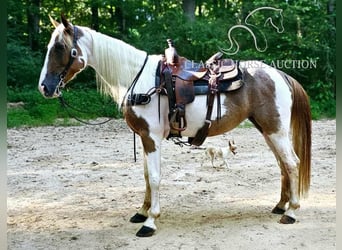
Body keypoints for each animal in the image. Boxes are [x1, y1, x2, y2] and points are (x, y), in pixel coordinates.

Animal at [38, 14, 312, 237]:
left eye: (60, 47)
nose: (44, 87)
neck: (139, 79)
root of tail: (281, 74)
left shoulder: (151, 137)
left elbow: (155, 177)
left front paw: (150, 222)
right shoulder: (145, 138)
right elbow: (146, 176)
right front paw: (142, 211)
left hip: (275, 131)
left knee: (291, 163)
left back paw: (292, 212)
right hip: (267, 131)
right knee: (283, 165)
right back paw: (281, 206)